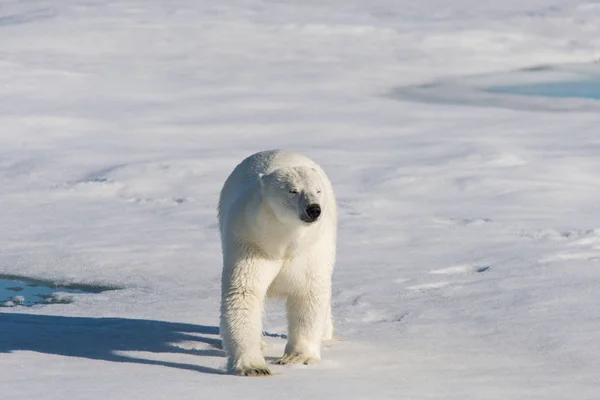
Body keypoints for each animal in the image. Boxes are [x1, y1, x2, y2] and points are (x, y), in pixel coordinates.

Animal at [217, 149, 338, 376]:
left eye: (317, 191)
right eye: (293, 190)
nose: (313, 209)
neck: (284, 242)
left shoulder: (310, 250)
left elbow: (308, 292)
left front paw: (298, 357)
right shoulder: (250, 241)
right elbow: (245, 292)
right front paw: (253, 366)